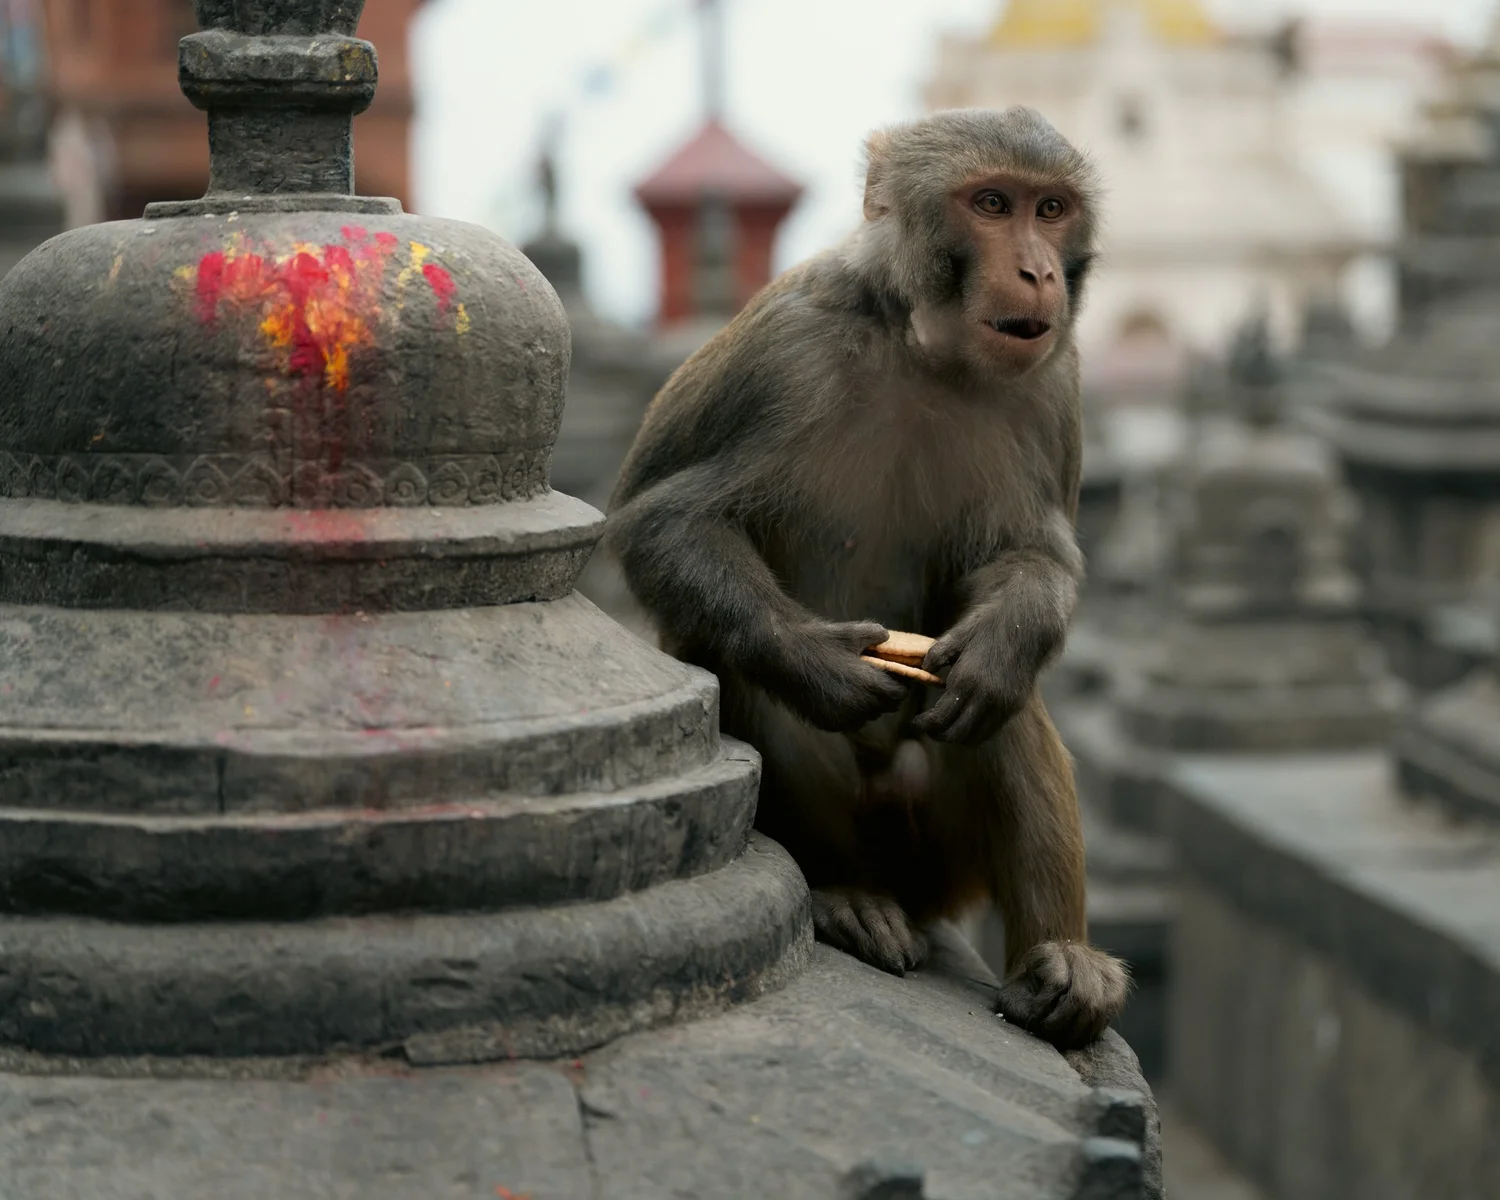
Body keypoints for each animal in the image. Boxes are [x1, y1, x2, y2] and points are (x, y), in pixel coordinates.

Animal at [606, 107, 1128, 1050]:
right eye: (991, 204)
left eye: (1051, 208)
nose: (1038, 271)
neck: (926, 348)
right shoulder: (785, 345)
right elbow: (665, 517)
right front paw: (811, 658)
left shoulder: (1054, 382)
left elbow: (1032, 559)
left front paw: (1000, 646)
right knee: (738, 664)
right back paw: (844, 892)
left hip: (942, 863)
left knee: (1001, 708)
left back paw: (1063, 963)